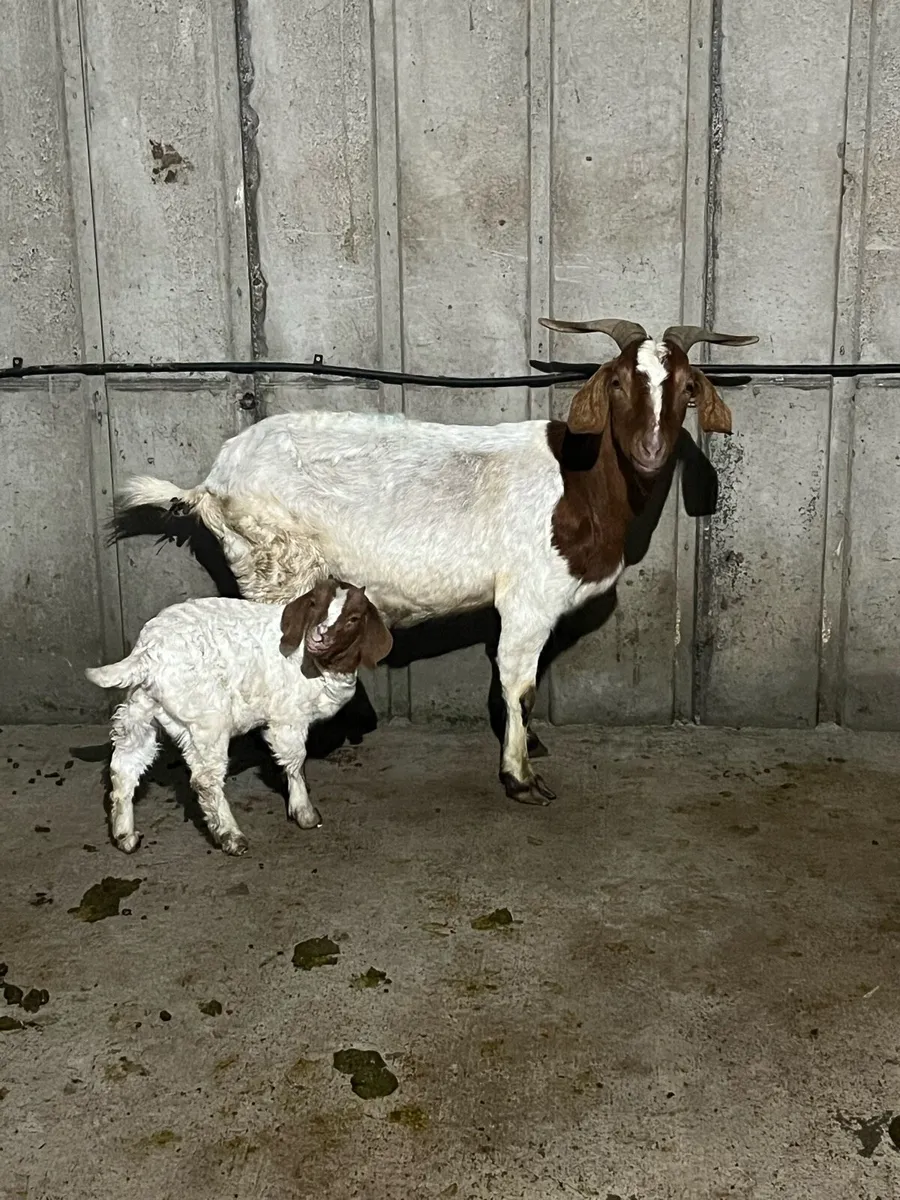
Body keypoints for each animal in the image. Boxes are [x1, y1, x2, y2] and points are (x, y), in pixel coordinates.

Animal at [84, 579, 392, 854]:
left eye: (354, 618)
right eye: (315, 604)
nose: (319, 637)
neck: (318, 665)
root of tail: (148, 655)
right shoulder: (288, 717)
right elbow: (295, 761)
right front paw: (305, 813)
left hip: (141, 711)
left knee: (124, 766)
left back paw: (125, 837)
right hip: (207, 719)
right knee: (205, 779)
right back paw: (231, 837)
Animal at [118, 319, 757, 805]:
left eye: (688, 389)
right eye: (620, 383)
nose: (651, 450)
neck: (582, 483)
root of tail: (212, 482)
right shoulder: (528, 596)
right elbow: (518, 684)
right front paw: (520, 776)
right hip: (278, 564)